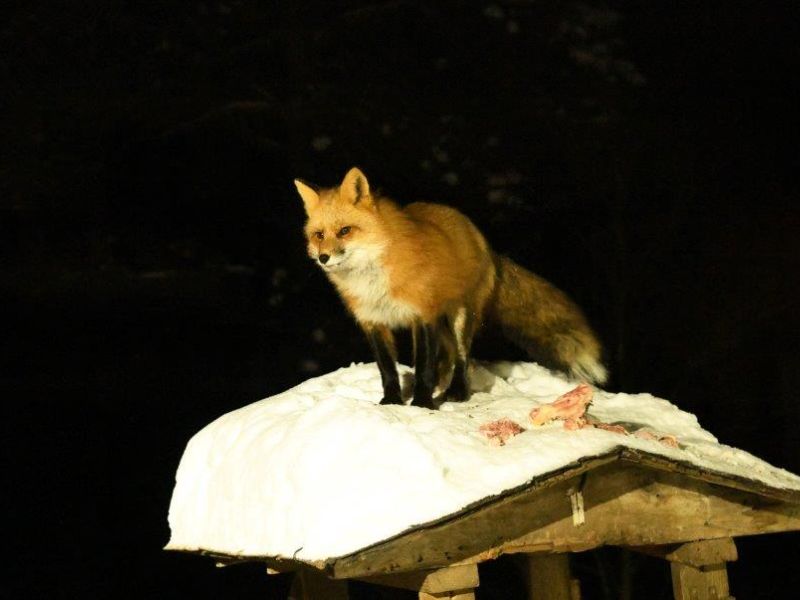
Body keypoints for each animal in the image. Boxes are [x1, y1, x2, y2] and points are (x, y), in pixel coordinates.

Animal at [295, 167, 607, 409]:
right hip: (441, 324)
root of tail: (483, 241)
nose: (323, 257)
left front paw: (422, 404)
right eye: (319, 235)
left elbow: (424, 366)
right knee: (446, 358)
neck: (374, 279)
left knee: (461, 358)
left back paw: (456, 391)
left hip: (459, 318)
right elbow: (387, 370)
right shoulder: (373, 321)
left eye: (345, 231)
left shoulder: (423, 314)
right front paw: (392, 401)